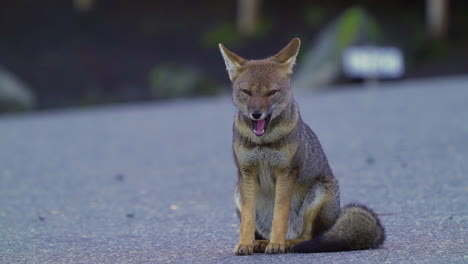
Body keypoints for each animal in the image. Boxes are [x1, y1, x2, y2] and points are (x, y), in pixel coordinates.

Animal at [218, 38, 384, 255]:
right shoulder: (246, 172)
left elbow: (280, 214)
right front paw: (245, 243)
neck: (264, 142)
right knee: (264, 231)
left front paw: (277, 244)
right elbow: (247, 219)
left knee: (309, 237)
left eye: (272, 92)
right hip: (238, 193)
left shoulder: (287, 172)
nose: (256, 114)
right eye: (247, 92)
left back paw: (287, 243)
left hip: (317, 196)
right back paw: (260, 243)